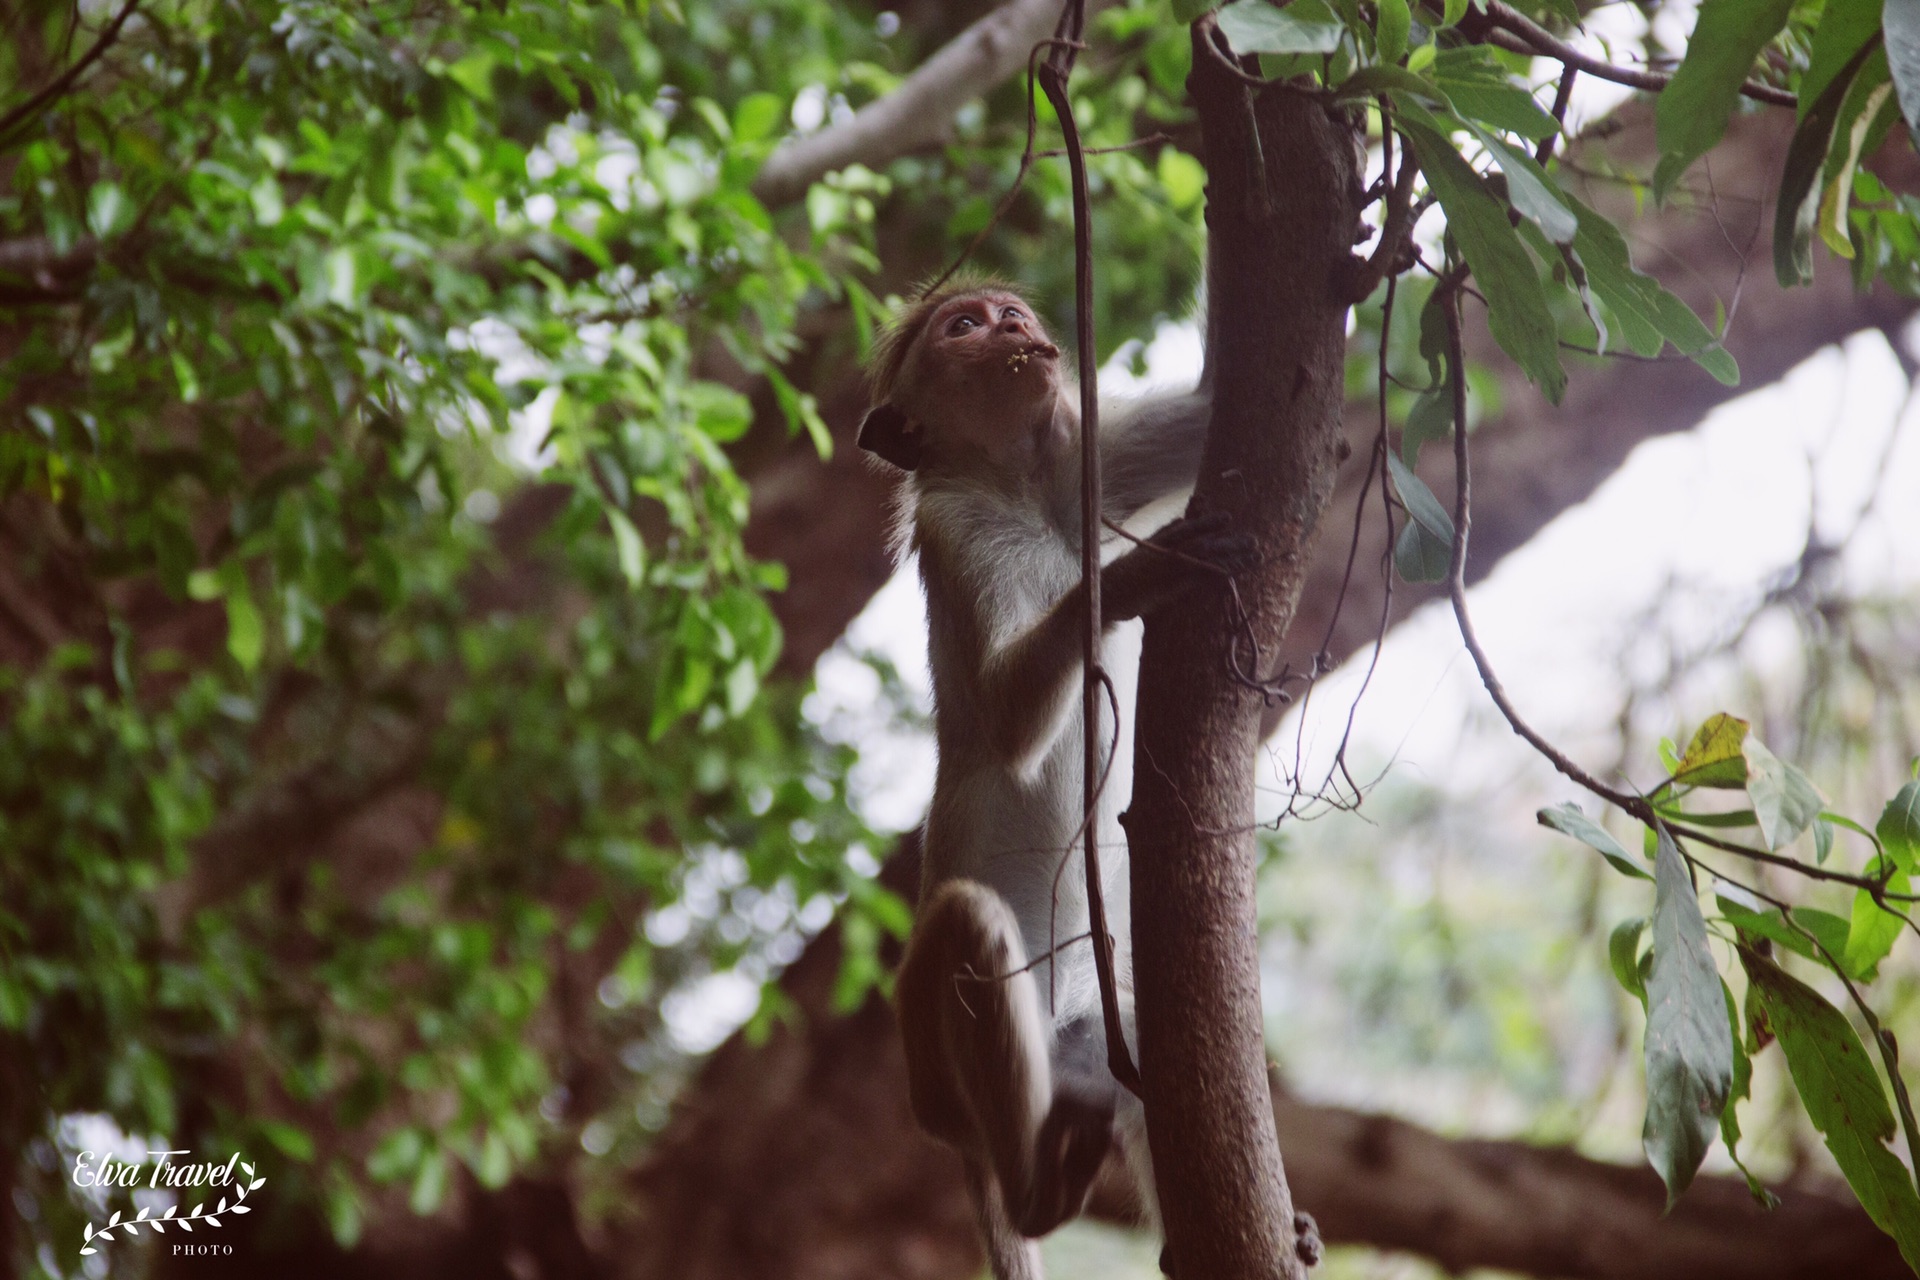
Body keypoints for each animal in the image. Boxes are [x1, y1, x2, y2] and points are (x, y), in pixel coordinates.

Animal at [860, 282, 1244, 1280]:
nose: (1016, 328)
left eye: (1008, 311)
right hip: (936, 1064)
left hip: (1078, 1034)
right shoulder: (960, 533)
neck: (1018, 489)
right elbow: (1004, 719)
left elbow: (1208, 407)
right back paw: (1033, 1191)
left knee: (1134, 1051)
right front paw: (1141, 574)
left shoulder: (1083, 470)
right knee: (969, 924)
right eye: (963, 326)